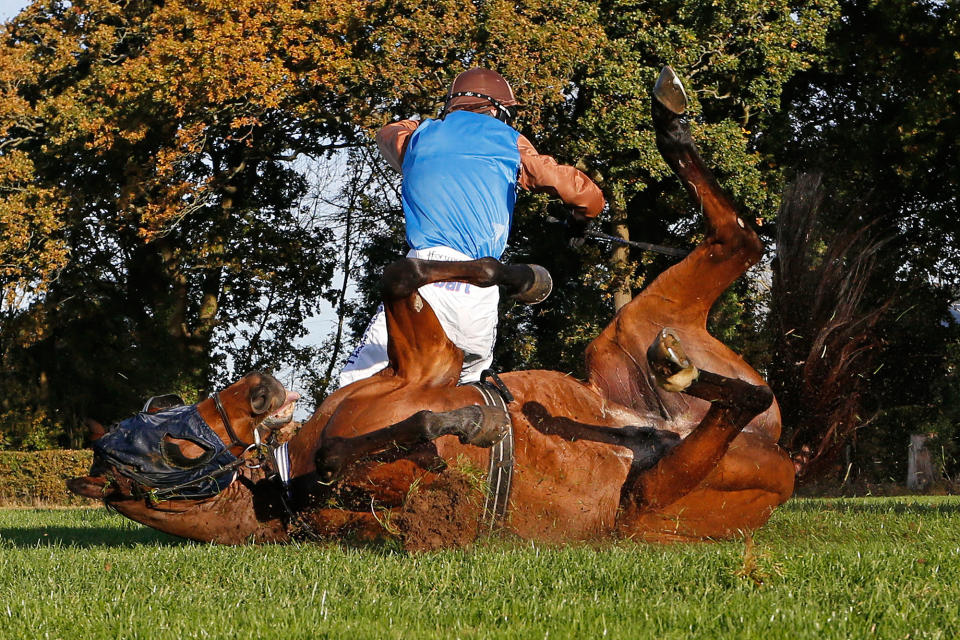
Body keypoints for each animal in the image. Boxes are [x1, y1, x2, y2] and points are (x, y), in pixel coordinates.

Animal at [67, 71, 796, 552]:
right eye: (179, 448)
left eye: (164, 409)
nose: (259, 387)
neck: (287, 483)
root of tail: (783, 465)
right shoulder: (424, 377)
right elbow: (399, 292)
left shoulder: (423, 366)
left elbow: (399, 273)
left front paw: (520, 272)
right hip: (650, 491)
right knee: (738, 310)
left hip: (626, 347)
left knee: (739, 253)